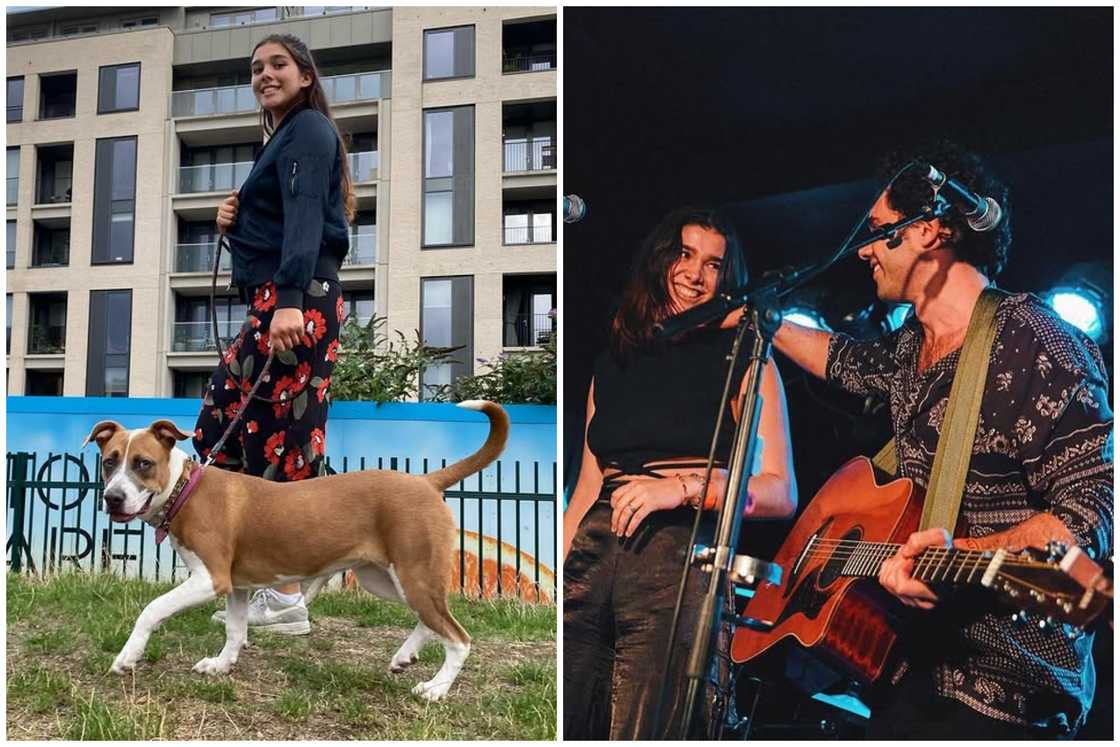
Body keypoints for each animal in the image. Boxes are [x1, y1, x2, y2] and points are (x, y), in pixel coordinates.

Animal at [81, 403, 510, 703]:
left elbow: (151, 609)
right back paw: (406, 656)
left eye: (143, 463)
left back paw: (437, 688)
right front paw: (222, 665)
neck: (184, 488)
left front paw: (127, 657)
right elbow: (235, 630)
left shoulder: (210, 579)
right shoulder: (236, 585)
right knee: (432, 618)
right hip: (387, 579)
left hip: (412, 574)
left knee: (458, 636)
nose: (112, 498)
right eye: (109, 462)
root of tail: (425, 480)